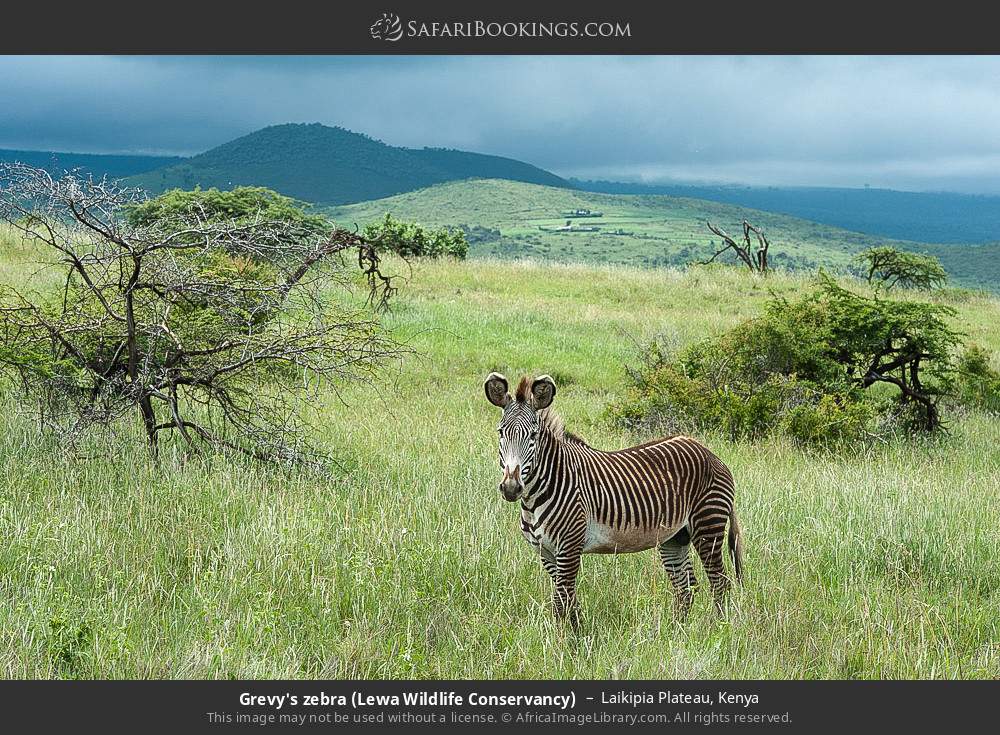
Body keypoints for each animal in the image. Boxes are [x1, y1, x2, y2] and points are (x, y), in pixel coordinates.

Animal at [484, 372, 743, 625]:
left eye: (533, 435)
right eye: (501, 432)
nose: (511, 488)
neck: (540, 491)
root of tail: (708, 452)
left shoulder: (569, 547)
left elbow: (562, 603)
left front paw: (568, 639)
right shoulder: (545, 552)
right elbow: (567, 602)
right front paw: (575, 634)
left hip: (708, 524)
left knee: (720, 582)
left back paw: (718, 628)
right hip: (675, 537)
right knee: (686, 587)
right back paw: (677, 632)